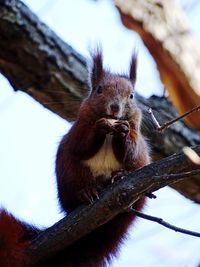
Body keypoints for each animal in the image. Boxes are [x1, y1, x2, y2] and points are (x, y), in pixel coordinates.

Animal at [0, 49, 150, 266]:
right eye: (99, 90)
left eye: (132, 95)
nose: (115, 107)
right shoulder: (77, 131)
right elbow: (80, 145)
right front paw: (100, 127)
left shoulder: (137, 140)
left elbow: (133, 152)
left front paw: (122, 131)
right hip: (70, 173)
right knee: (74, 194)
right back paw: (86, 193)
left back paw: (120, 177)